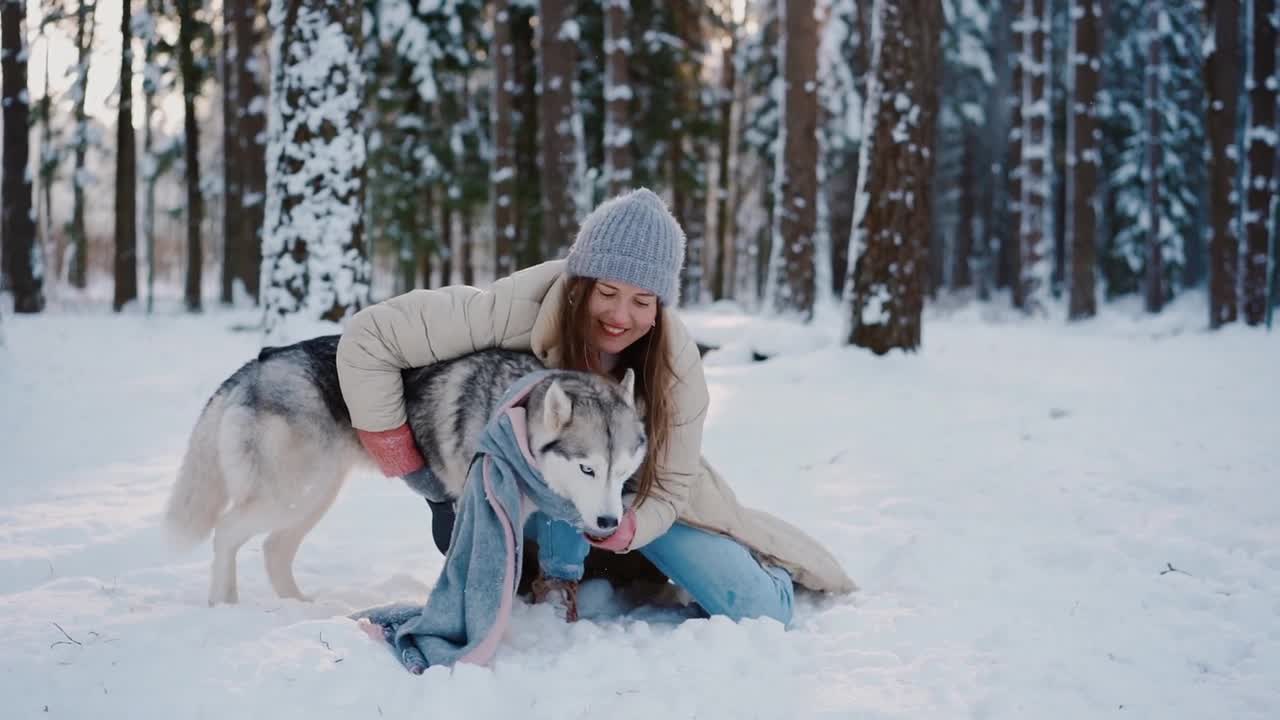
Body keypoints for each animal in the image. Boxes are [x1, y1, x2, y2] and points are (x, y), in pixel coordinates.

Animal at [167, 333, 650, 602]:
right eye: (587, 469)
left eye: (622, 472)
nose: (609, 523)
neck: (510, 417)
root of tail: (257, 364)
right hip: (288, 495)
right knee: (227, 531)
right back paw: (224, 604)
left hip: (312, 498)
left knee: (273, 550)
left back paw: (298, 606)